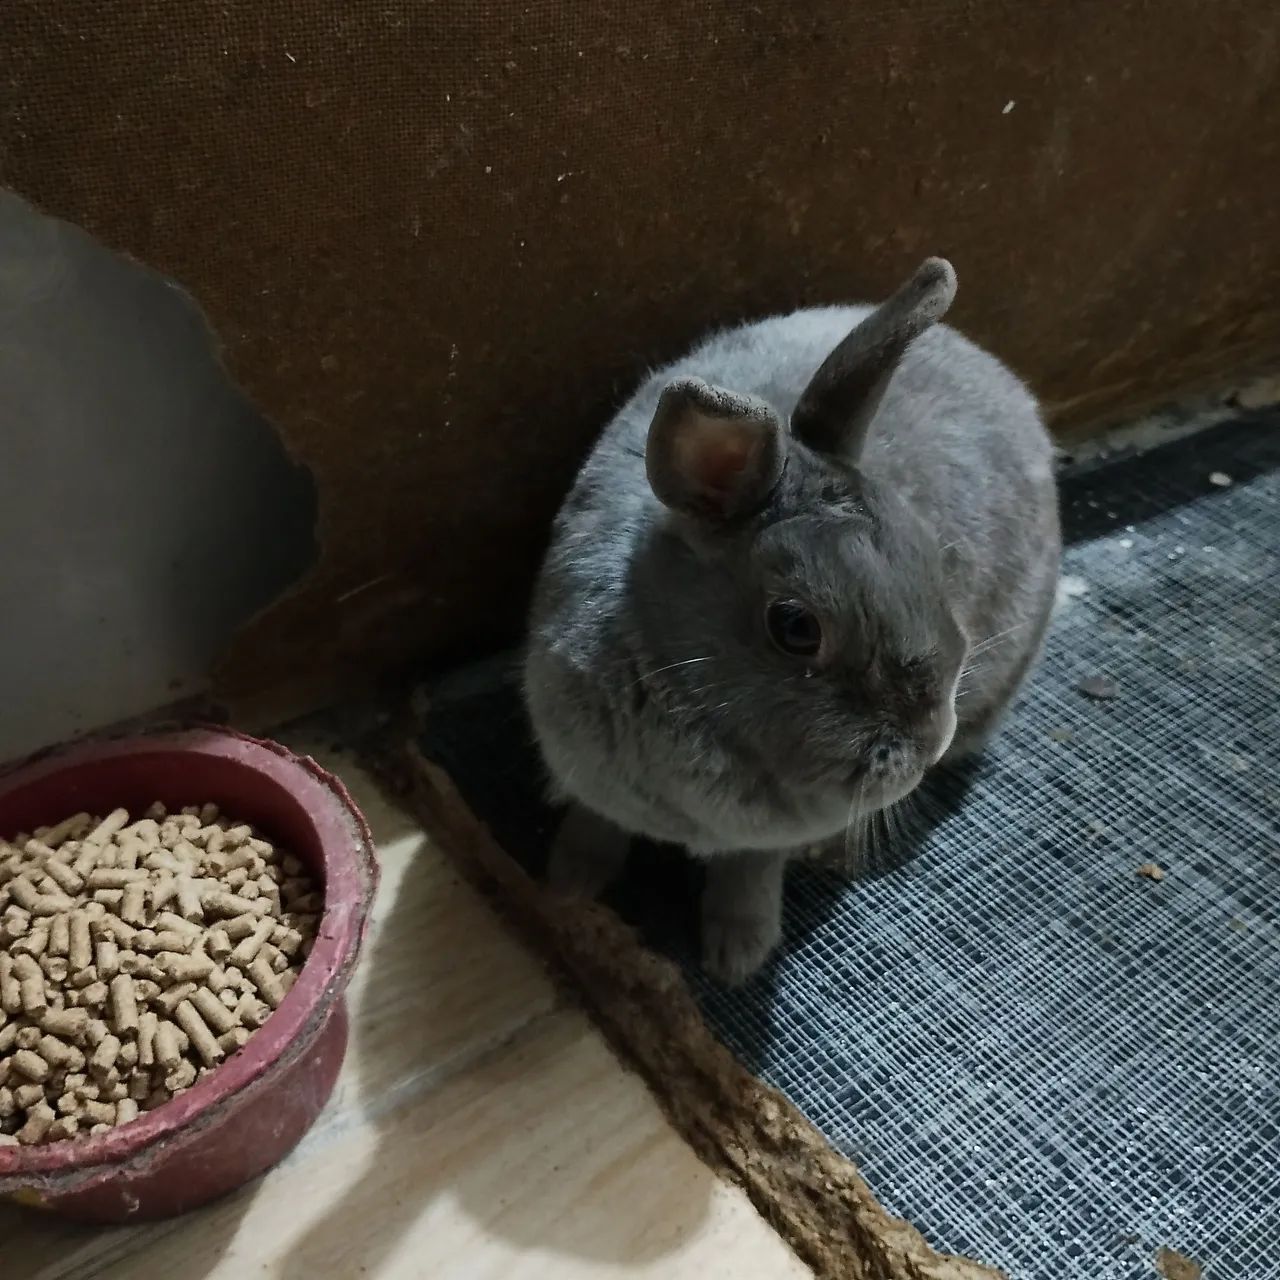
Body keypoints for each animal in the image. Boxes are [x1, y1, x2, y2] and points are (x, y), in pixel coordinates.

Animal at [523, 258, 1060, 984]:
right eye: (796, 628)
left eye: (931, 565)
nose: (929, 741)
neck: (678, 680)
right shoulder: (592, 777)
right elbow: (593, 823)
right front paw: (568, 883)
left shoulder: (762, 841)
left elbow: (748, 874)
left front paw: (737, 956)